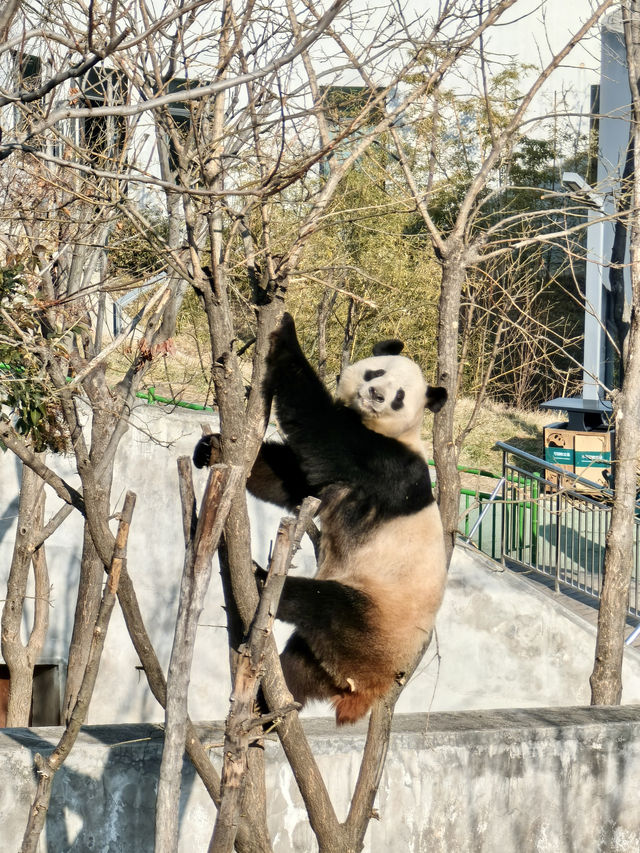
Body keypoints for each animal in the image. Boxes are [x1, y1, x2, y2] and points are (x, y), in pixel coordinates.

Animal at [192, 312, 448, 720]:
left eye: (400, 397)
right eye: (376, 372)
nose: (376, 395)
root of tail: (368, 687)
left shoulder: (385, 464)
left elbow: (319, 433)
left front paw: (285, 328)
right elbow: (293, 480)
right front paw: (211, 447)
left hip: (374, 618)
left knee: (322, 604)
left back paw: (260, 580)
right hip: (330, 655)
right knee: (301, 664)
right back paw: (267, 706)